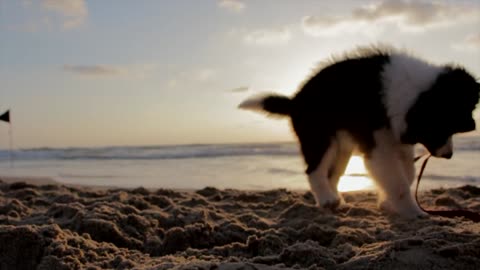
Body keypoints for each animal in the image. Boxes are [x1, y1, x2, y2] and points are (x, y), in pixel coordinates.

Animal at [240, 46, 480, 219]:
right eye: (442, 126)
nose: (449, 155)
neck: (411, 92)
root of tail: (295, 101)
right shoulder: (380, 147)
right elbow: (398, 181)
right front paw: (414, 212)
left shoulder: (397, 140)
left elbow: (408, 173)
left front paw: (387, 202)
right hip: (321, 138)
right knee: (314, 170)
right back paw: (326, 199)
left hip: (342, 148)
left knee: (332, 174)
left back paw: (336, 199)